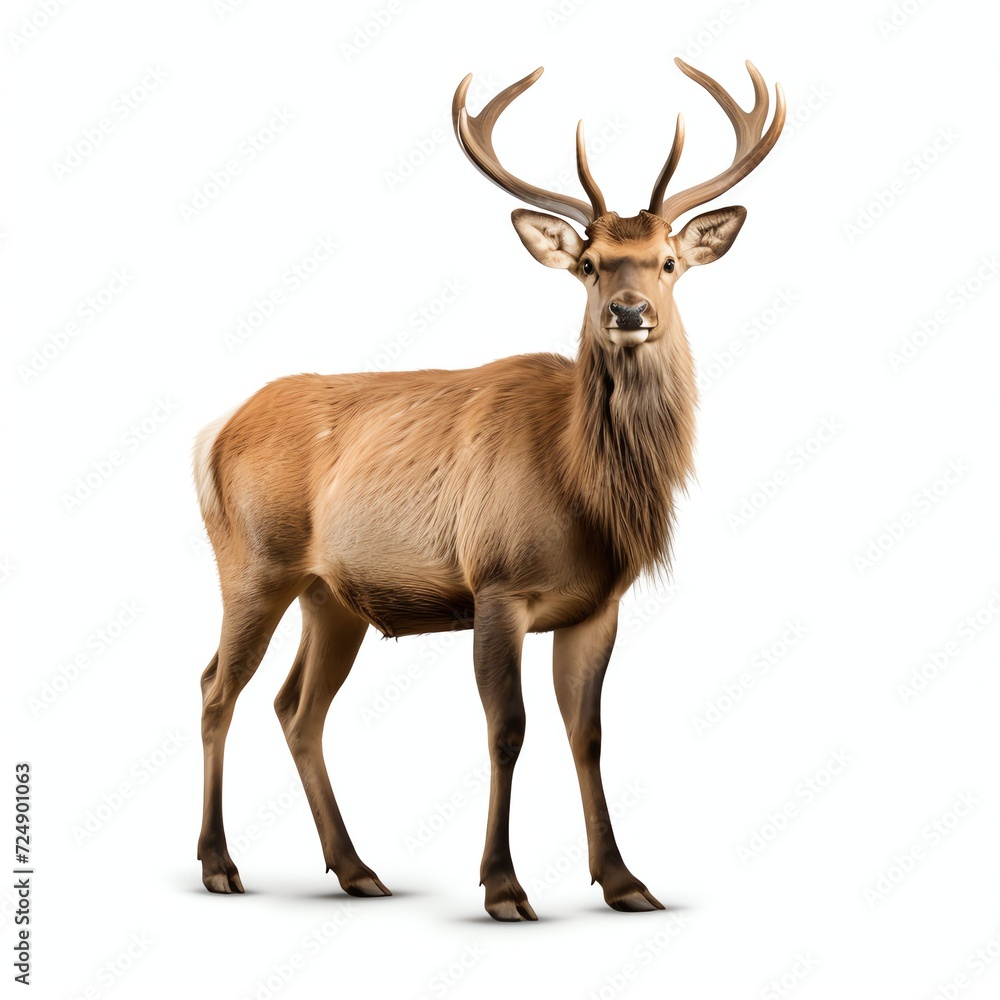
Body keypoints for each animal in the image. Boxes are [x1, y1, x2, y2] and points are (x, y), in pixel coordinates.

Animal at [194, 57, 785, 921]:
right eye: (588, 264)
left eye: (669, 260)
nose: (629, 310)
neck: (586, 493)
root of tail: (212, 433)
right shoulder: (498, 583)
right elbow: (507, 729)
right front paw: (504, 886)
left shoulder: (596, 604)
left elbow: (588, 734)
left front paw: (625, 881)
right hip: (253, 563)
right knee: (217, 688)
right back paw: (219, 864)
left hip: (329, 595)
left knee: (296, 708)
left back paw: (357, 868)